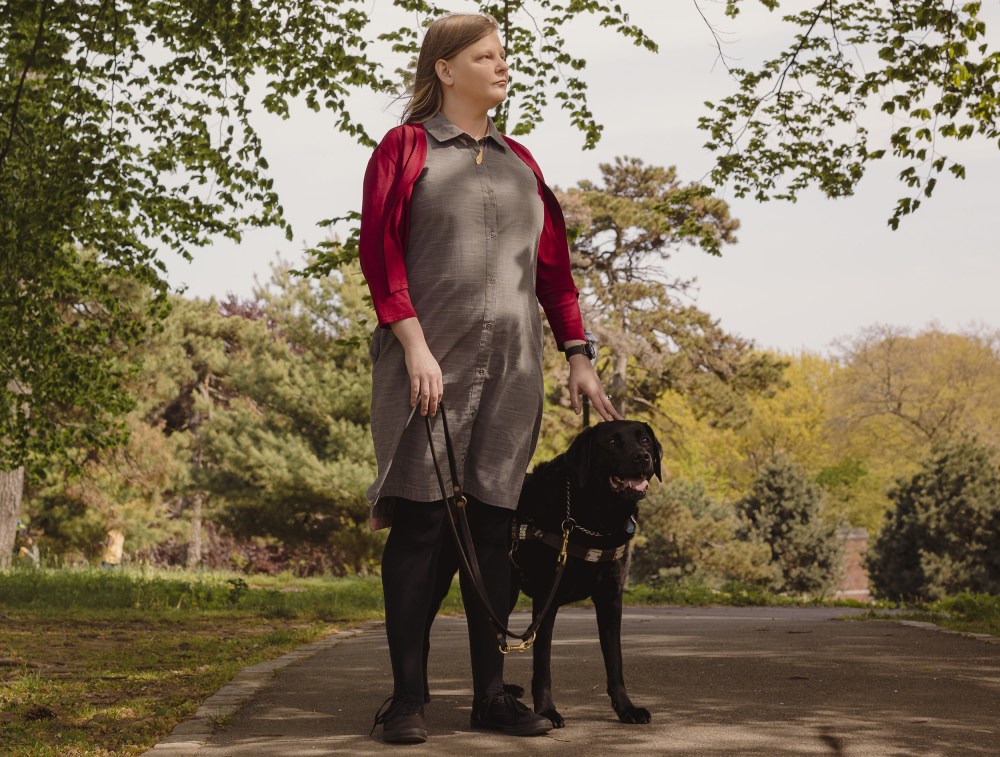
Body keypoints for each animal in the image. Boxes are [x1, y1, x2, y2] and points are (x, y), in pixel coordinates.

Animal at [508, 420, 664, 728]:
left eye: (644, 440)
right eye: (613, 442)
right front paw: (546, 710)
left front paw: (626, 708)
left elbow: (615, 661)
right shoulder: (546, 600)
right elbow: (543, 664)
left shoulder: (610, 599)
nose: (643, 457)